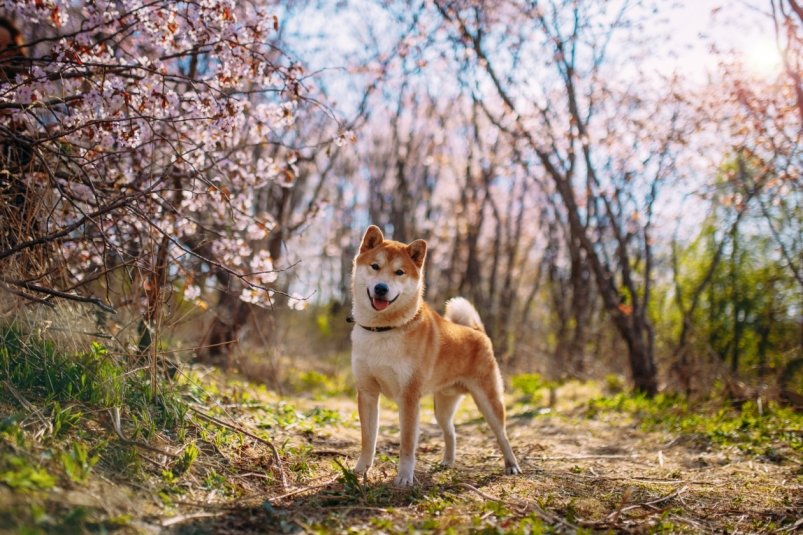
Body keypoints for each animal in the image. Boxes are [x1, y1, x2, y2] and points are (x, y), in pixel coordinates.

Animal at [350, 224, 520, 488]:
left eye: (399, 272)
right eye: (375, 266)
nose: (381, 288)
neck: (383, 331)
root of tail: (478, 332)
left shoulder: (409, 398)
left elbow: (407, 443)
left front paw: (404, 477)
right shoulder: (367, 393)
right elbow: (368, 440)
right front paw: (360, 471)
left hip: (489, 402)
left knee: (502, 434)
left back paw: (511, 465)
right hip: (443, 406)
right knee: (451, 431)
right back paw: (448, 462)